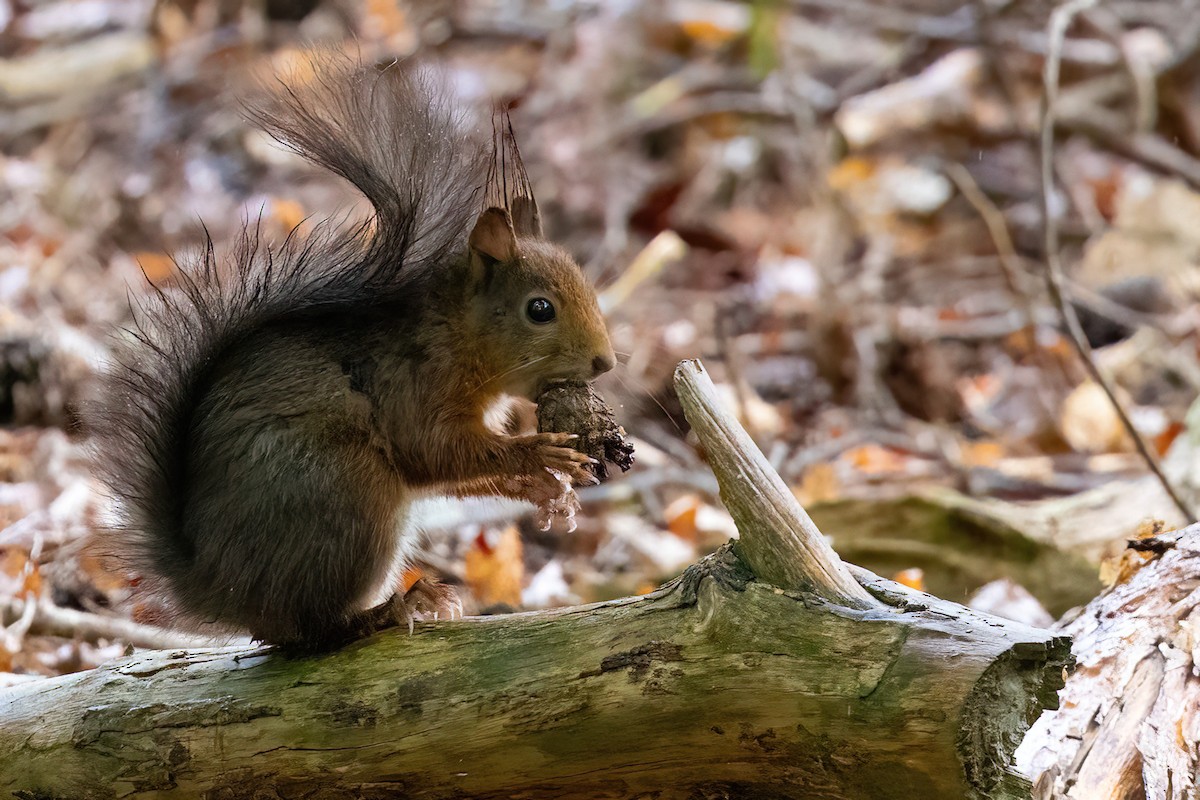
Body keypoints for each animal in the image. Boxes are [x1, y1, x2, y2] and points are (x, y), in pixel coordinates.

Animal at [86, 57, 616, 650]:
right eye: (539, 309)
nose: (605, 363)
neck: (456, 333)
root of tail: (219, 589)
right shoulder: (414, 386)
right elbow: (434, 452)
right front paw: (539, 454)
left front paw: (547, 490)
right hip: (348, 494)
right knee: (313, 630)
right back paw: (391, 609)